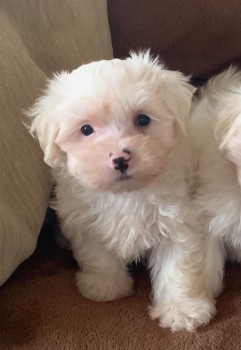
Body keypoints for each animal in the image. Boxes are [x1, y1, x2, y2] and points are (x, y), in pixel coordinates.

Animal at [27, 50, 215, 330]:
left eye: (142, 119)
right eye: (86, 129)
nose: (120, 158)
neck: (127, 193)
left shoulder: (179, 222)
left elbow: (178, 269)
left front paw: (182, 310)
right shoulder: (86, 222)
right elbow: (98, 256)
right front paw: (105, 286)